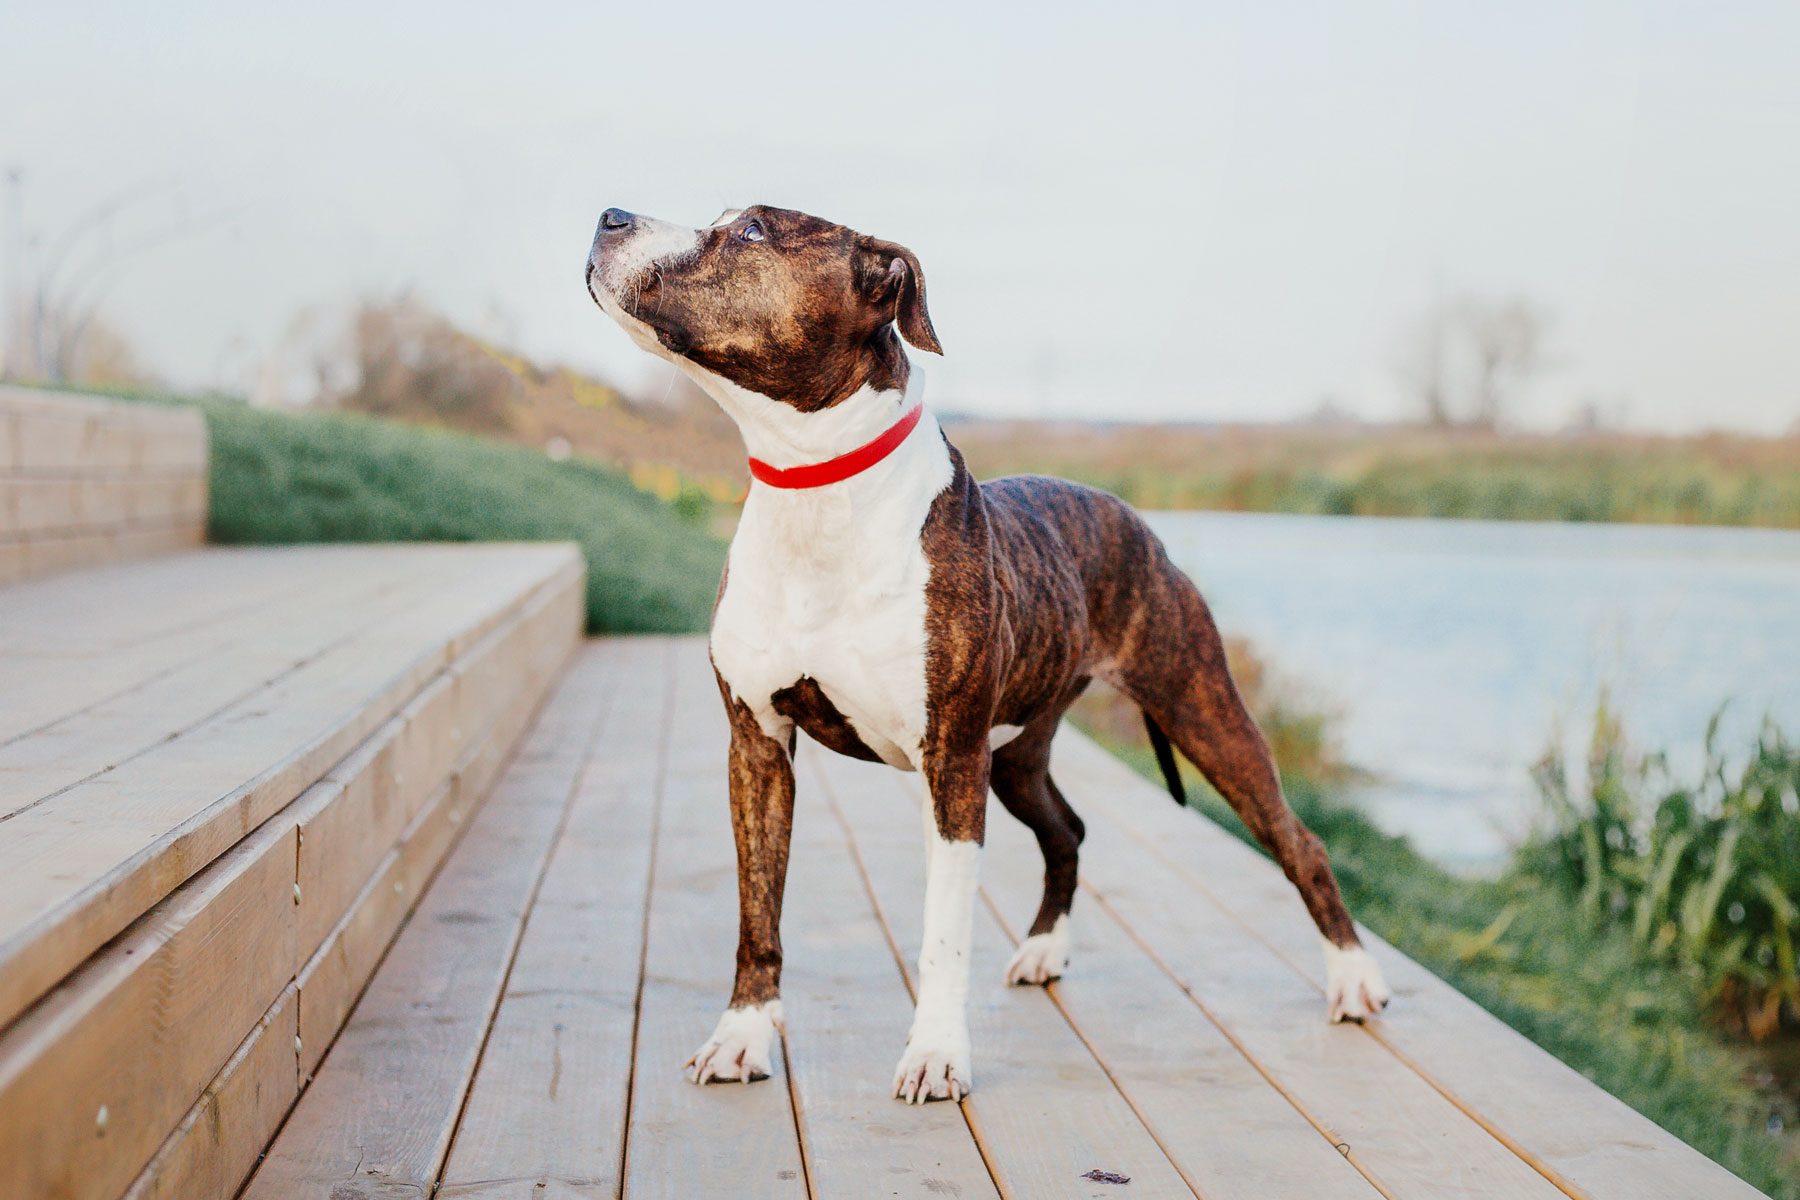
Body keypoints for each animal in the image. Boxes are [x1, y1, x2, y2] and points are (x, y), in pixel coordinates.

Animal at [583, 201, 1382, 1101]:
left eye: (752, 230)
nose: (610, 214)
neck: (813, 488)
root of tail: (1128, 513)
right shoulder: (757, 746)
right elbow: (759, 911)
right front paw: (743, 1035)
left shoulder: (952, 765)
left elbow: (942, 934)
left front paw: (935, 1054)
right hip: (1020, 755)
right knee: (1066, 830)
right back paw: (1043, 950)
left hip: (1200, 708)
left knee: (1298, 842)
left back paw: (1354, 980)